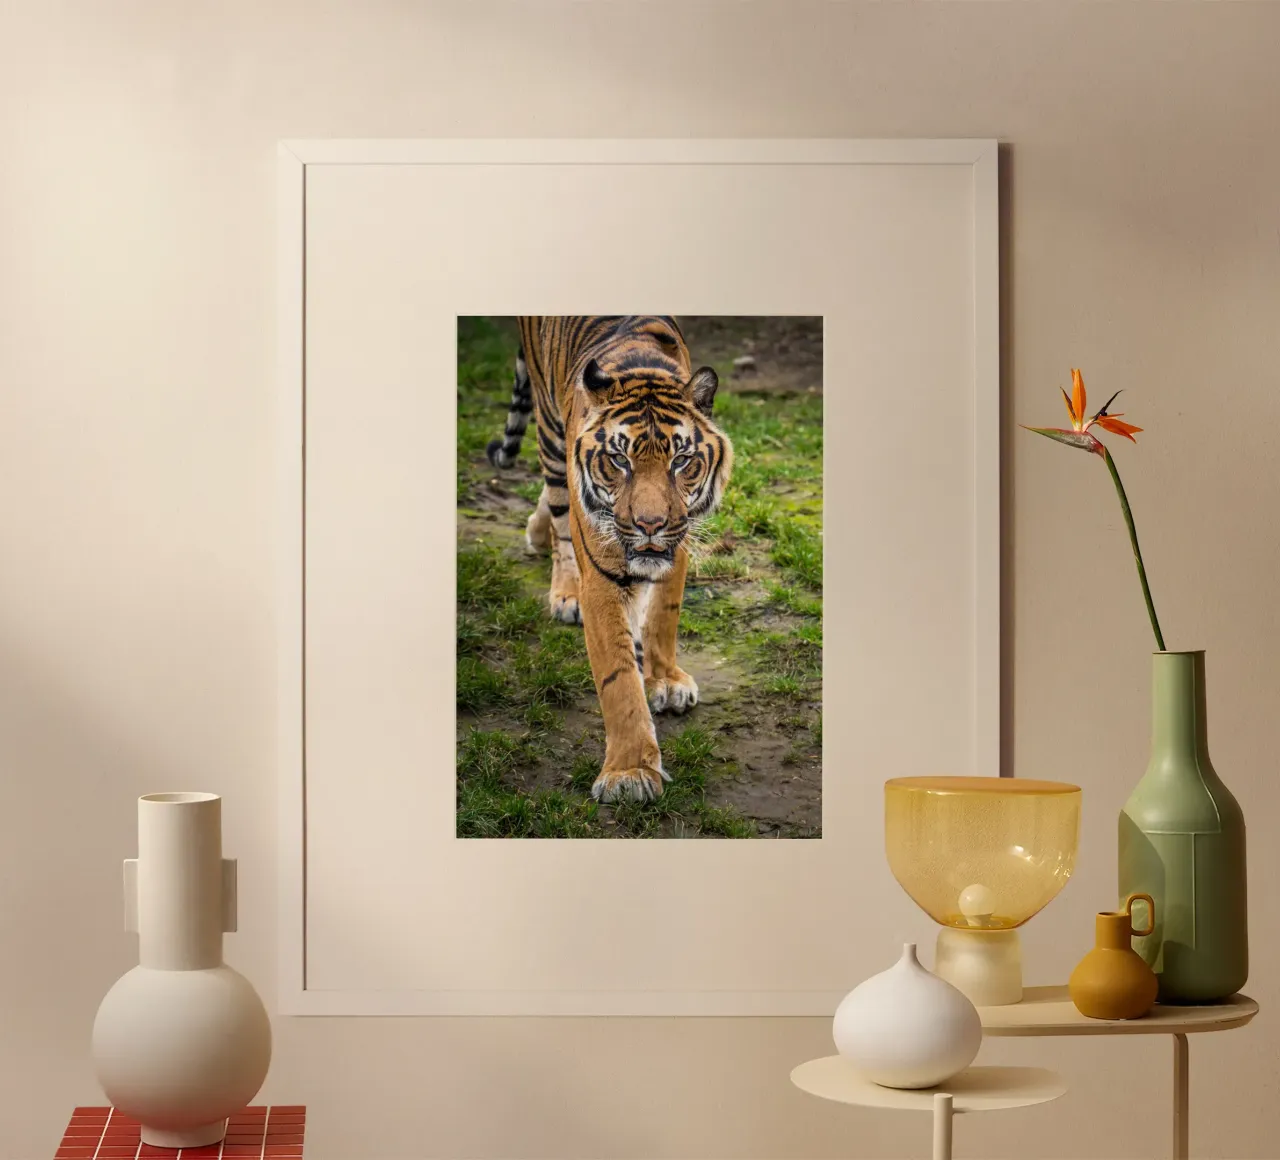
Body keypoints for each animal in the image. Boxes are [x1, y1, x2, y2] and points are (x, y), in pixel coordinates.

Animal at [486, 316, 734, 804]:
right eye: (619, 460)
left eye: (682, 460)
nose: (650, 524)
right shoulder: (601, 576)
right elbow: (618, 680)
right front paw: (630, 772)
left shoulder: (677, 544)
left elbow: (663, 617)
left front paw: (665, 680)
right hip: (549, 436)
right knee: (560, 520)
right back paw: (563, 587)